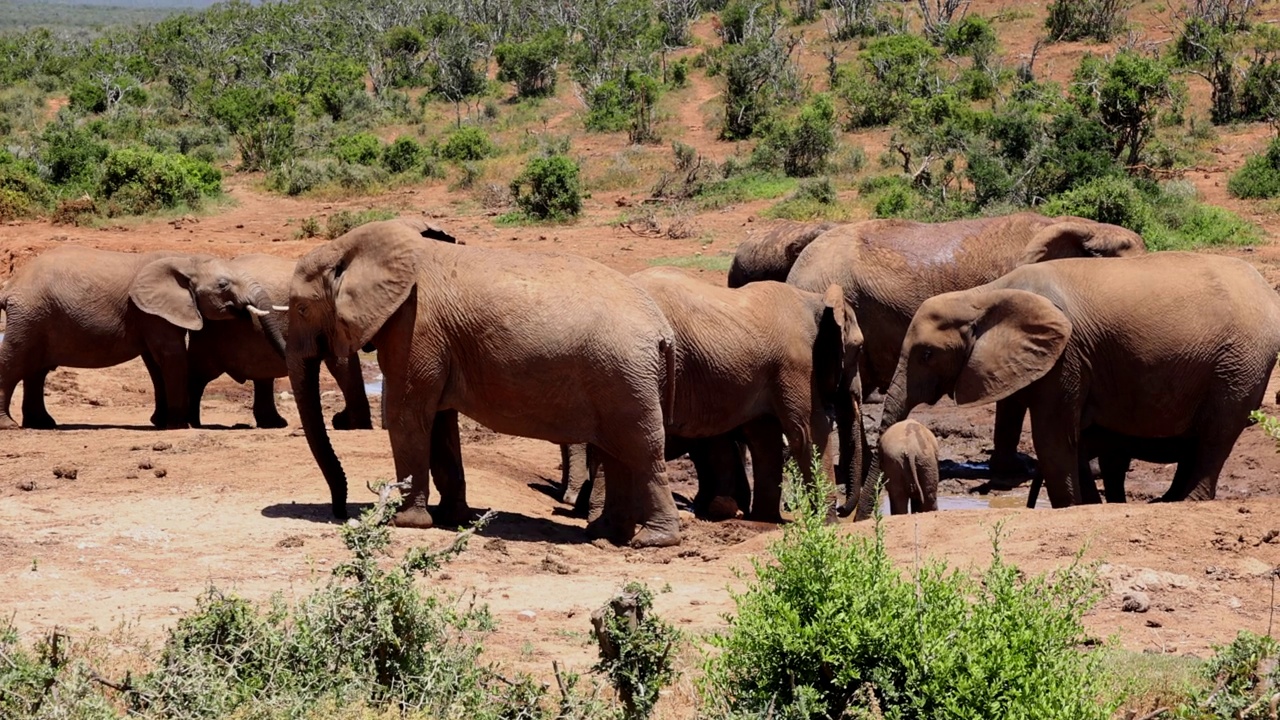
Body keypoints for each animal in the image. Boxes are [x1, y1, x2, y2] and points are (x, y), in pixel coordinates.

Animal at [0, 243, 285, 427]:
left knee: (35, 371)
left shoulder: (152, 314)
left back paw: (43, 424)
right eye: (223, 285)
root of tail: (11, 285)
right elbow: (171, 356)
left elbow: (156, 364)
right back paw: (9, 425)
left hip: (35, 317)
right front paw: (178, 424)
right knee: (13, 362)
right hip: (29, 314)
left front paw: (160, 422)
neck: (183, 260)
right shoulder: (151, 312)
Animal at [286, 217, 686, 543]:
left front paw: (407, 522)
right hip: (622, 377)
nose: (340, 511)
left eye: (301, 309)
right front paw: (451, 517)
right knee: (618, 452)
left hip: (624, 376)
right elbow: (439, 422)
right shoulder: (435, 339)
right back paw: (604, 535)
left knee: (642, 449)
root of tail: (662, 330)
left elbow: (408, 415)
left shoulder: (415, 326)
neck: (351, 245)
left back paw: (653, 540)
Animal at [573, 266, 865, 517]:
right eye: (860, 347)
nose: (843, 509)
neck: (816, 300)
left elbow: (765, 438)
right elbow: (808, 431)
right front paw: (827, 523)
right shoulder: (796, 363)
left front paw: (765, 520)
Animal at [849, 251, 1280, 515]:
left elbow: (1054, 438)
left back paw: (1182, 501)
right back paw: (1165, 502)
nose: (849, 516)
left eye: (926, 354)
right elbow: (1064, 438)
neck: (983, 295)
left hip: (1240, 364)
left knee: (1214, 438)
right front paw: (1087, 506)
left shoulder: (1067, 355)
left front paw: (1071, 508)